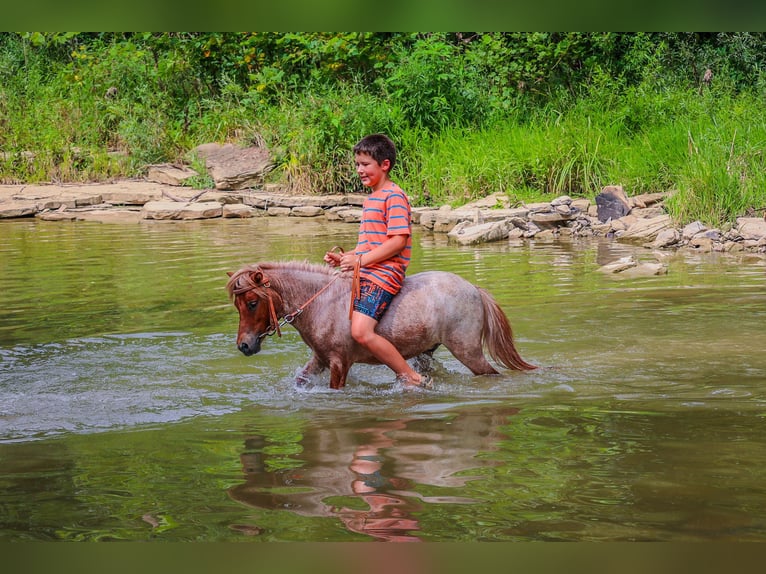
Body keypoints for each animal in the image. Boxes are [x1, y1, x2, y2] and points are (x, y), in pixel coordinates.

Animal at [228, 262, 536, 392]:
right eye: (238, 305)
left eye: (252, 302)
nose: (244, 345)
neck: (322, 302)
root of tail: (475, 289)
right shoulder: (320, 359)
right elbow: (301, 380)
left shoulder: (339, 362)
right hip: (428, 351)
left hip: (468, 350)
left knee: (490, 374)